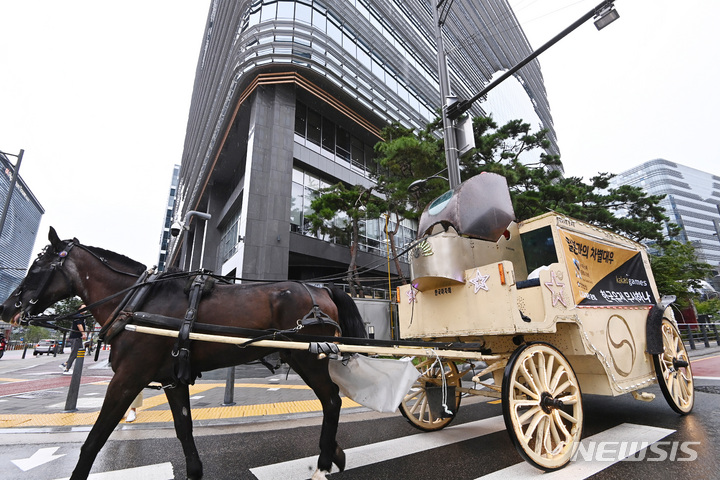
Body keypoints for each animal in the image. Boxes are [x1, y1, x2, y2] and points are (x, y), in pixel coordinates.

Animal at [0, 228, 368, 476]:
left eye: (36, 269)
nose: (6, 308)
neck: (137, 302)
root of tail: (321, 288)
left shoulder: (128, 378)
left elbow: (95, 438)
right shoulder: (172, 378)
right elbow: (183, 428)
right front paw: (194, 470)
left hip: (308, 357)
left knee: (332, 400)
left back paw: (324, 461)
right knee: (329, 400)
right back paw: (334, 453)